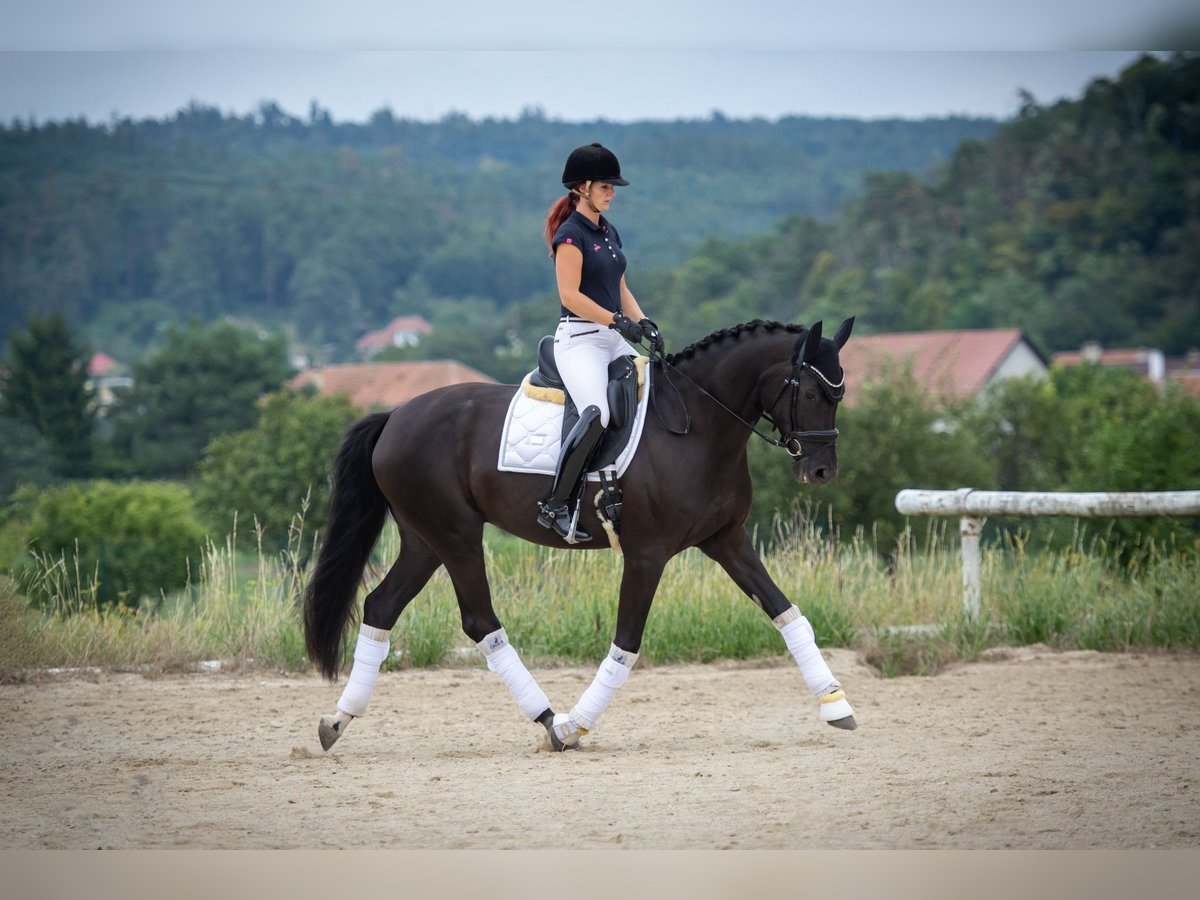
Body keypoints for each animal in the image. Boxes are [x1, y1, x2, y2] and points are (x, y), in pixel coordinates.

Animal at [304, 316, 859, 753]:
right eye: (813, 393)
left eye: (840, 392)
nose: (823, 472)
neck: (697, 425)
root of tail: (396, 414)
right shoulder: (646, 554)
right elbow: (626, 645)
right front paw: (577, 727)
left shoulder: (727, 539)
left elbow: (787, 613)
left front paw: (836, 704)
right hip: (456, 535)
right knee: (480, 622)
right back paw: (551, 722)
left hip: (425, 541)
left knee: (381, 606)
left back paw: (337, 719)